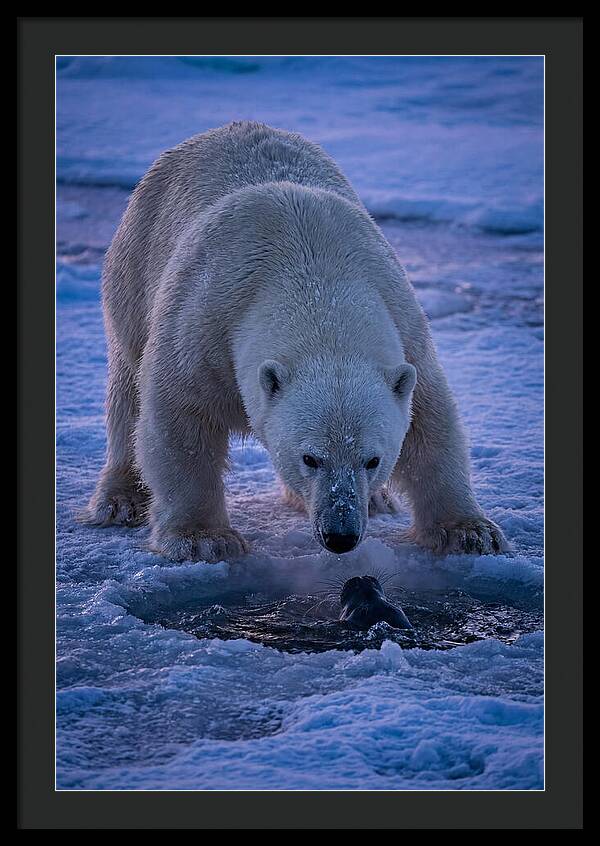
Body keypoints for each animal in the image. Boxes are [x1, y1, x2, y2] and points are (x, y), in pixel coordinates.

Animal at [84, 121, 508, 562]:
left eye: (372, 459)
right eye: (310, 458)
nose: (341, 535)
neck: (313, 273)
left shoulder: (404, 326)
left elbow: (430, 421)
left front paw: (470, 532)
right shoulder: (204, 323)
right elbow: (180, 419)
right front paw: (203, 539)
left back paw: (377, 500)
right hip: (135, 267)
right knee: (127, 388)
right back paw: (120, 499)